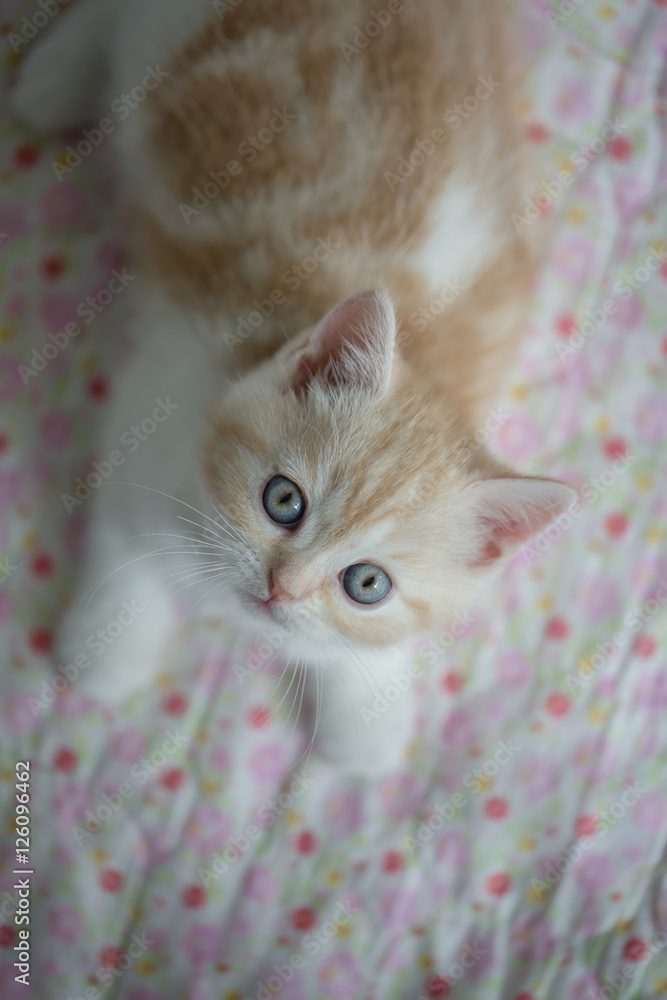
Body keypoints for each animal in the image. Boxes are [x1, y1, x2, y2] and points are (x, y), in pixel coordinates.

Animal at [9, 0, 576, 772]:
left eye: (366, 584)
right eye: (284, 501)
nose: (282, 590)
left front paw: (368, 721)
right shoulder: (152, 407)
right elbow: (123, 540)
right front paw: (107, 653)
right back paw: (54, 78)